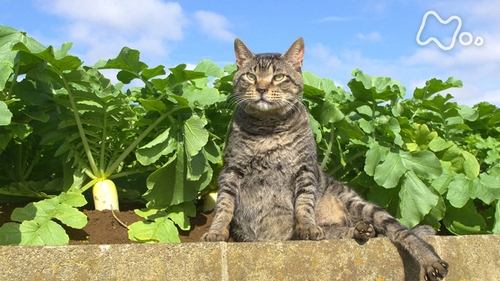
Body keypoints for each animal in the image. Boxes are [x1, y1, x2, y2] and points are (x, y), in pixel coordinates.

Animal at [202, 37, 450, 280]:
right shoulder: (231, 169)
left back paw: (429, 260)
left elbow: (303, 204)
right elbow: (224, 205)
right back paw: (361, 230)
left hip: (364, 206)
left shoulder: (304, 169)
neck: (268, 128)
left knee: (401, 232)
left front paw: (307, 226)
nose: (261, 87)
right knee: (340, 232)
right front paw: (216, 232)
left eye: (278, 76)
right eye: (251, 76)